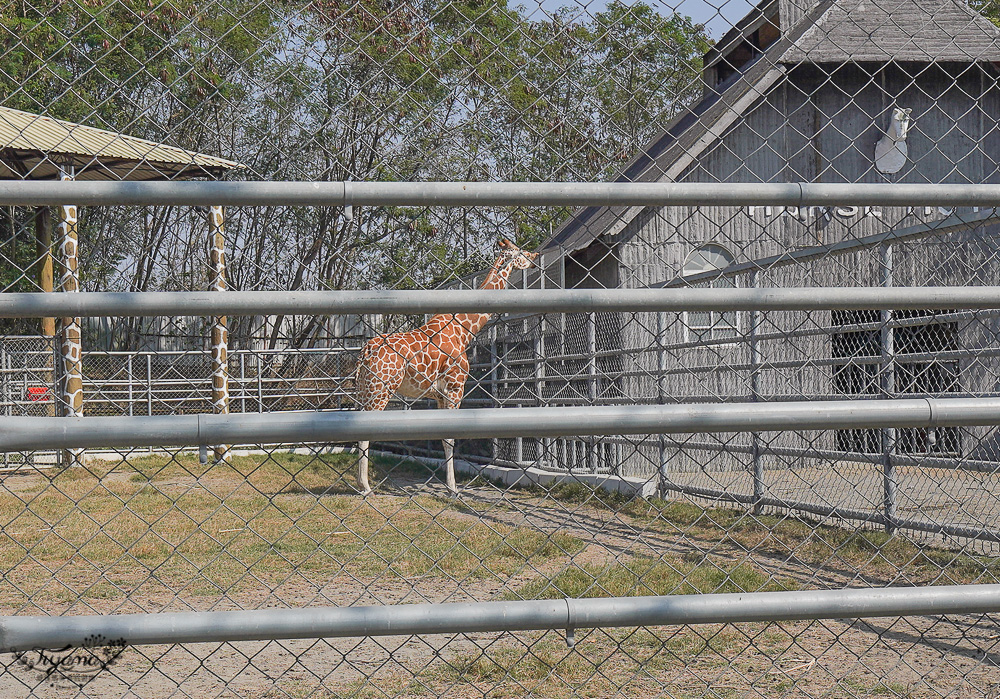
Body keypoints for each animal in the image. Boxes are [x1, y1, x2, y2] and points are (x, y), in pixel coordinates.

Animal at [354, 241, 536, 498]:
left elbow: (442, 438)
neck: (464, 330)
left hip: (364, 389)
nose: (535, 257)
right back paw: (366, 487)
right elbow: (451, 439)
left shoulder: (440, 395)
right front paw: (453, 488)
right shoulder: (455, 388)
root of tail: (366, 351)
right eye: (521, 252)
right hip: (381, 390)